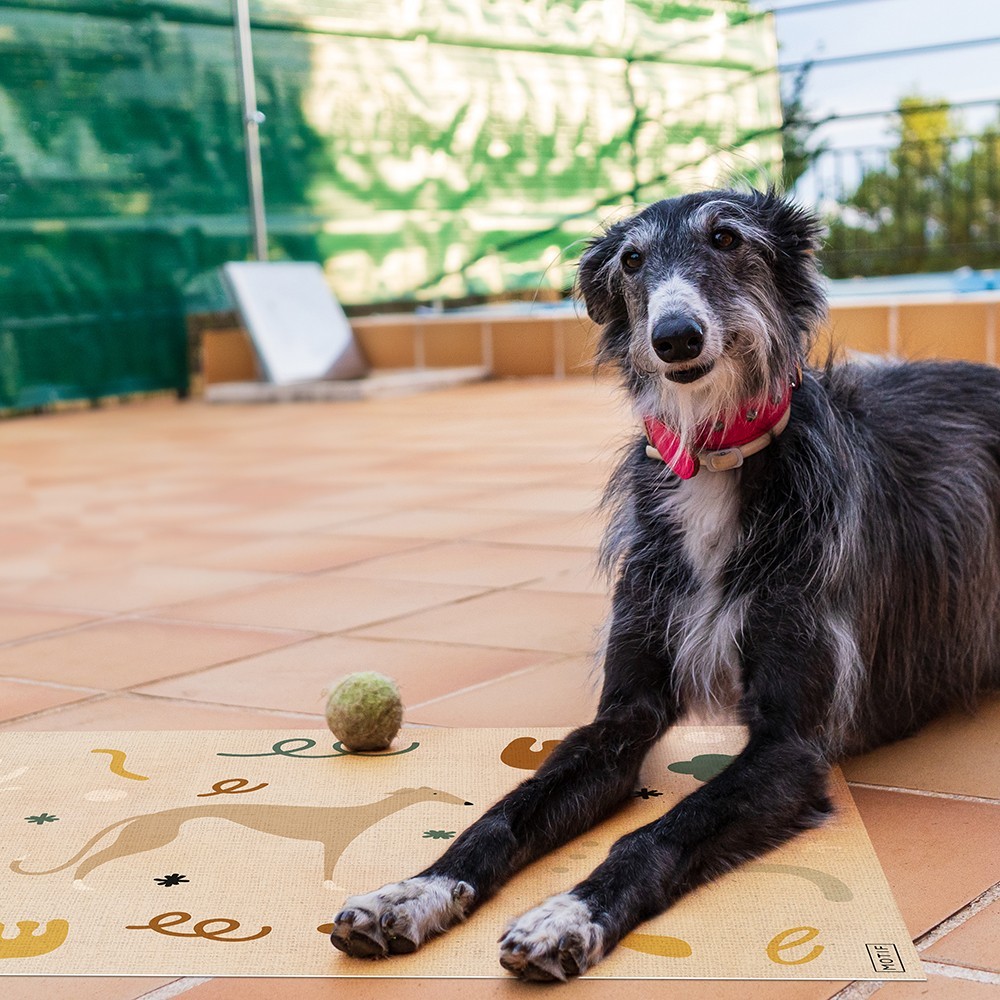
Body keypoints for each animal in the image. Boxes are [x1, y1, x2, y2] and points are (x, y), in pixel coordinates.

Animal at [328, 191, 1000, 980]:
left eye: (727, 237)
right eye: (631, 259)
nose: (675, 336)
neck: (715, 460)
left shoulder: (789, 743)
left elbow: (662, 829)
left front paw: (569, 914)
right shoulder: (626, 710)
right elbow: (507, 810)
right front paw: (414, 890)